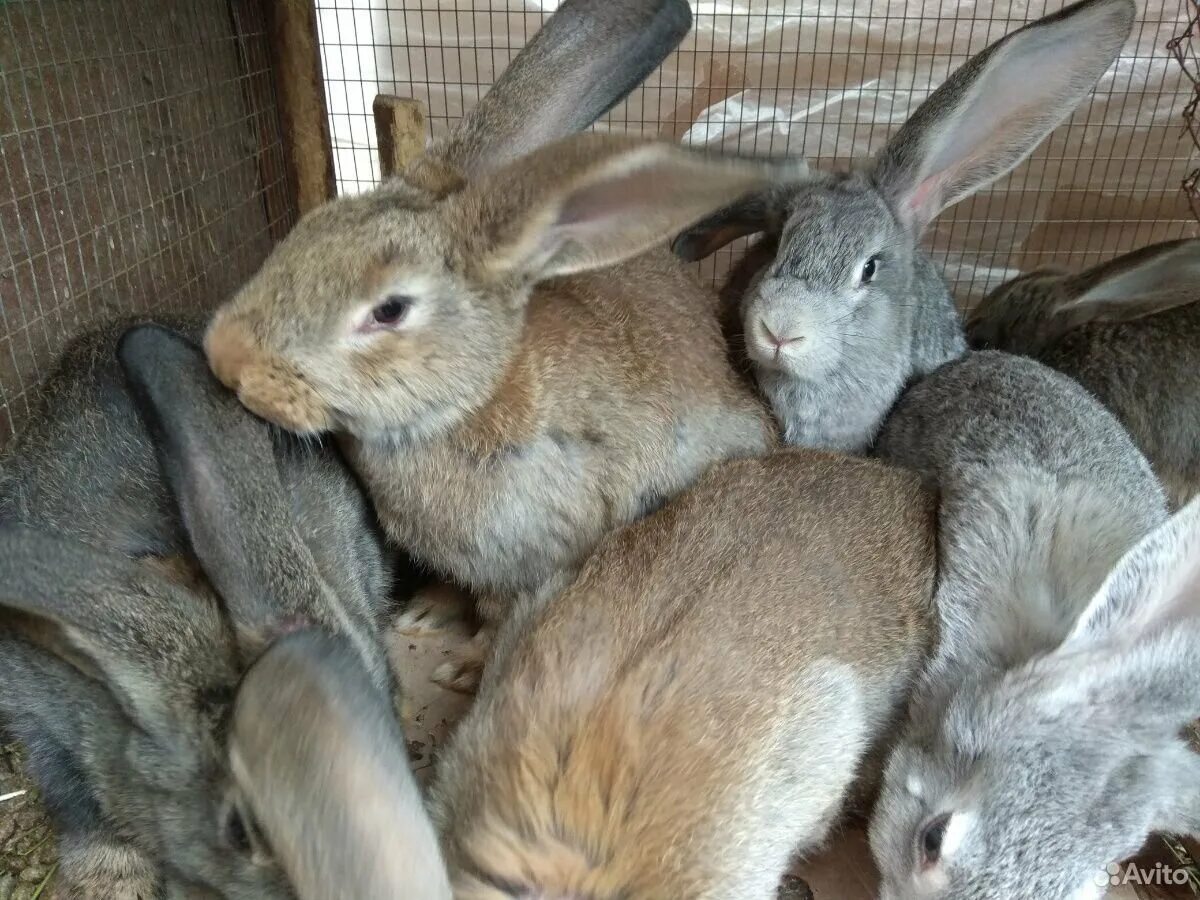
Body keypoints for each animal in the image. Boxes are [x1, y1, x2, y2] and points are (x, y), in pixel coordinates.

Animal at [202, 0, 796, 691]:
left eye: (389, 310)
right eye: (308, 228)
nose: (226, 359)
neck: (463, 403)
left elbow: (502, 616)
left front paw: (465, 668)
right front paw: (434, 619)